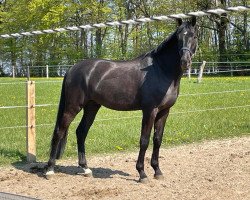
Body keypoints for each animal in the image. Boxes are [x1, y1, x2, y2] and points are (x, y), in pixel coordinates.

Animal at [44, 18, 197, 182]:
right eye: (178, 38)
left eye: (194, 36)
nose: (185, 61)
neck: (160, 69)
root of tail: (72, 69)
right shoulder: (149, 110)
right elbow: (144, 140)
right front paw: (142, 173)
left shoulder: (164, 111)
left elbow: (157, 139)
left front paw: (157, 171)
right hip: (72, 107)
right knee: (59, 132)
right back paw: (50, 170)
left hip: (92, 107)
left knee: (81, 132)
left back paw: (85, 168)